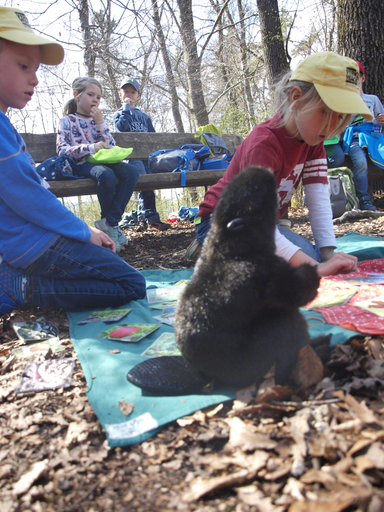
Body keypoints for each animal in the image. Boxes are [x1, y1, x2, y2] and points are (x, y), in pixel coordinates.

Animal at [174, 167, 320, 388]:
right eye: (259, 196)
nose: (261, 170)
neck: (226, 250)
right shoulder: (271, 270)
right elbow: (299, 291)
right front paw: (314, 273)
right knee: (288, 320)